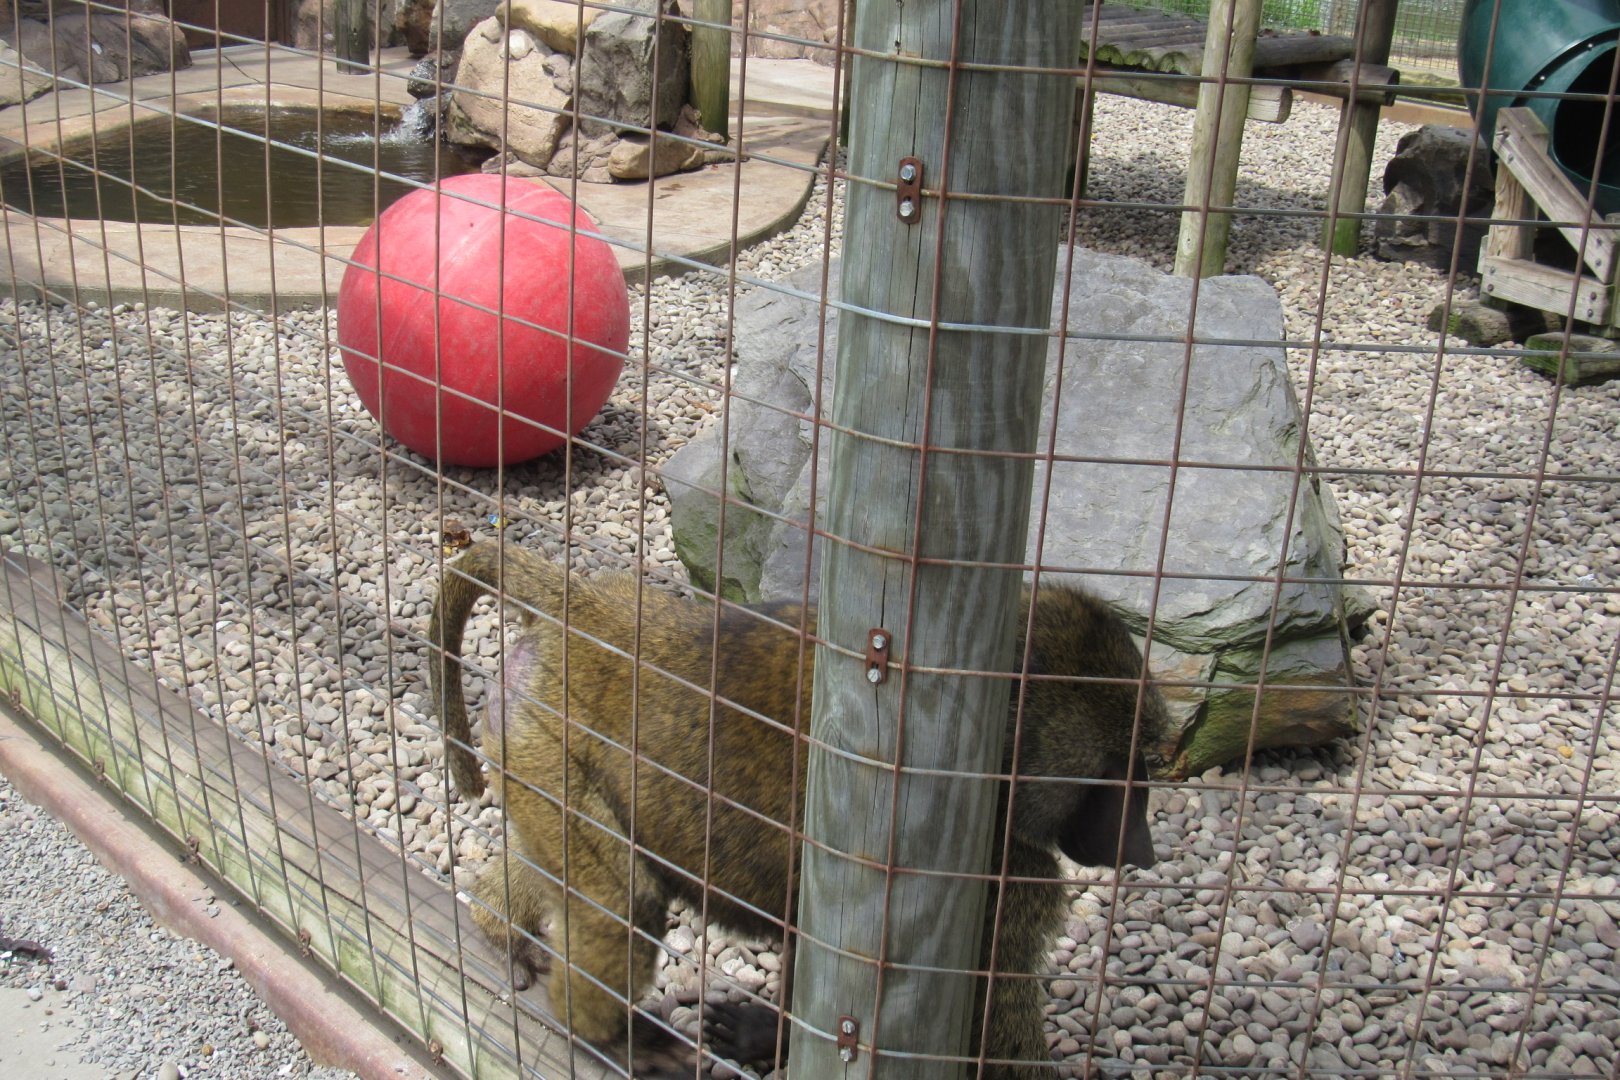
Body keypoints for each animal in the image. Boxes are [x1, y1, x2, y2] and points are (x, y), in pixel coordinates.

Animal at [430, 540, 1168, 1079]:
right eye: (1115, 777)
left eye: (1145, 770)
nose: (1144, 849)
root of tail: (585, 610)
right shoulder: (1002, 878)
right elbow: (1000, 1039)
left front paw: (765, 1036)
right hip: (544, 737)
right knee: (623, 898)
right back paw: (607, 1037)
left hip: (530, 746)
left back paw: (498, 927)